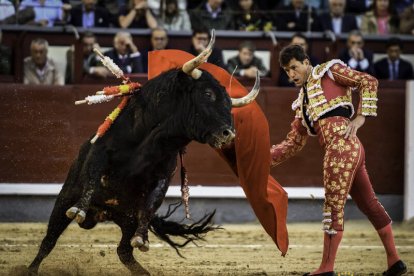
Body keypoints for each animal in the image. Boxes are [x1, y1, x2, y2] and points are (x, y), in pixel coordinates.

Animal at [26, 66, 258, 274]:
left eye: (229, 103)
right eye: (208, 94)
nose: (229, 133)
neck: (155, 140)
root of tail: (103, 214)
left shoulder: (163, 176)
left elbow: (152, 203)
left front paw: (142, 238)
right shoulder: (100, 152)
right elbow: (92, 178)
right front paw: (79, 210)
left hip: (127, 221)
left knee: (124, 252)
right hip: (63, 199)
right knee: (49, 240)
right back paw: (31, 269)